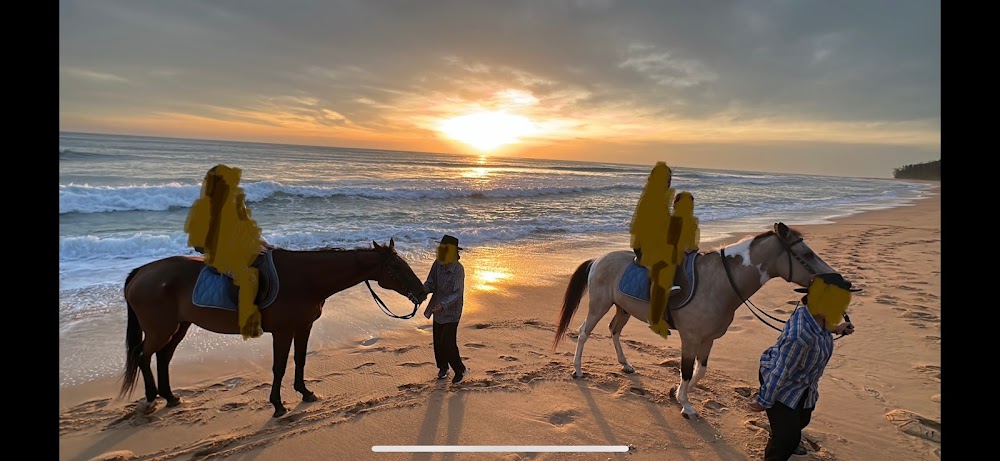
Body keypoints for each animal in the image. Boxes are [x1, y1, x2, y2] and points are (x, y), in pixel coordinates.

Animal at [120, 239, 426, 416]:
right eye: (397, 269)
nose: (423, 292)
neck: (306, 278)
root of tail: (142, 272)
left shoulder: (303, 327)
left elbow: (300, 360)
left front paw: (305, 392)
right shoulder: (283, 331)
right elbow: (279, 366)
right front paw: (278, 405)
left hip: (179, 326)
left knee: (163, 357)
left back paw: (171, 397)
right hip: (161, 329)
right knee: (143, 356)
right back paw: (151, 398)